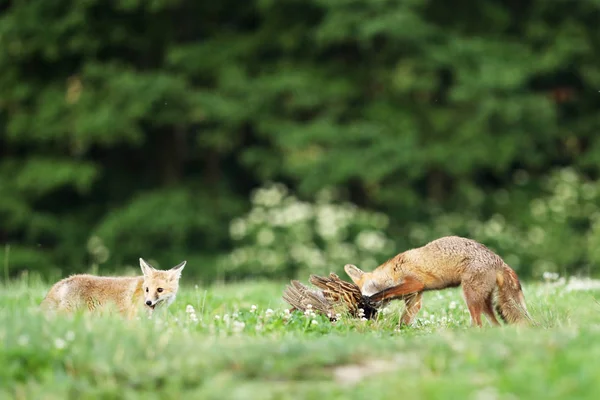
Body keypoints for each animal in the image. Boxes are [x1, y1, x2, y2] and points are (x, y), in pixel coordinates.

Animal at [344, 236, 532, 326]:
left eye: (361, 292)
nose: (367, 306)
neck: (393, 271)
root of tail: (498, 259)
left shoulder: (415, 283)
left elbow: (387, 291)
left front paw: (373, 298)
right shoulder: (415, 298)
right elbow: (404, 320)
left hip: (470, 297)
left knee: (479, 324)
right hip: (484, 303)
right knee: (496, 326)